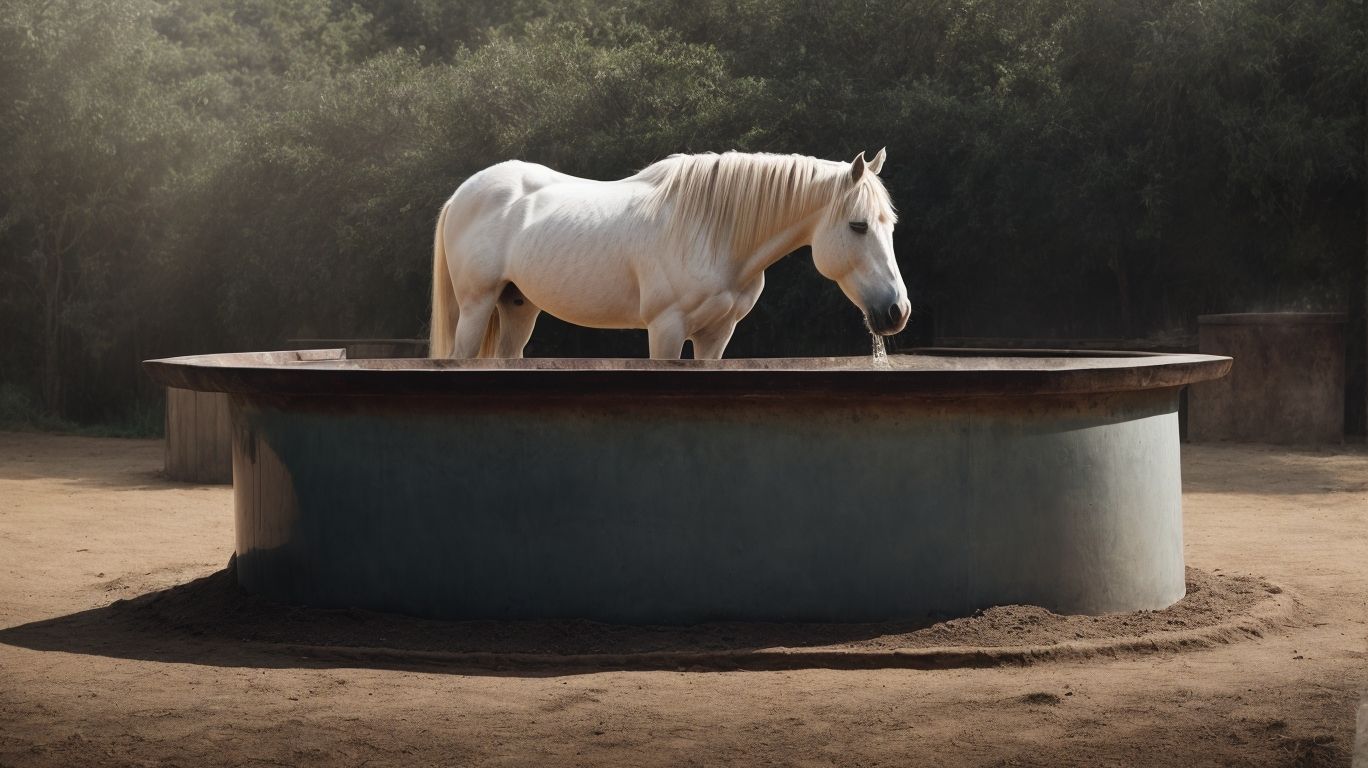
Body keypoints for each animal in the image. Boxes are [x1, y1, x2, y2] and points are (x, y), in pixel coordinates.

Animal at [429, 149, 908, 360]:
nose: (897, 311)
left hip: (518, 307)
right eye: (859, 225)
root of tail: (460, 195)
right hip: (476, 306)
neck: (715, 232)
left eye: (890, 225)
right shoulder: (666, 329)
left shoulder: (717, 335)